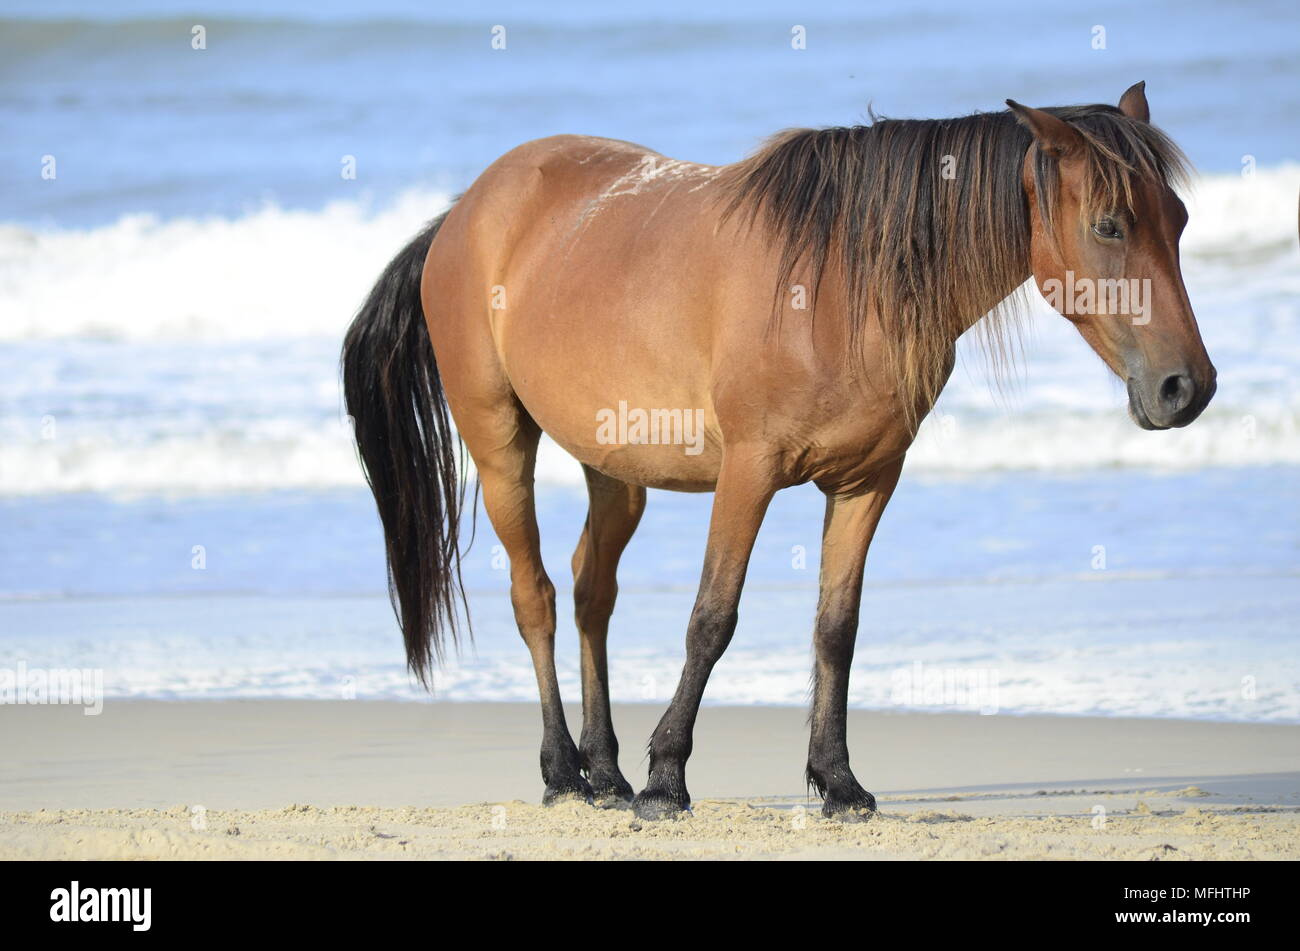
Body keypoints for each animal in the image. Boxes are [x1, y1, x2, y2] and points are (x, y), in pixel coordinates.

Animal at [343, 81, 1216, 821]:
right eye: (1109, 224)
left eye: (1176, 218)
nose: (1188, 388)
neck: (841, 281)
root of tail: (463, 212)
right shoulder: (749, 471)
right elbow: (712, 618)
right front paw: (667, 779)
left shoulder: (868, 481)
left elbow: (837, 626)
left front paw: (838, 781)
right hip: (500, 445)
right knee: (538, 598)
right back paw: (564, 771)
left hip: (616, 469)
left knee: (593, 592)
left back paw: (605, 769)